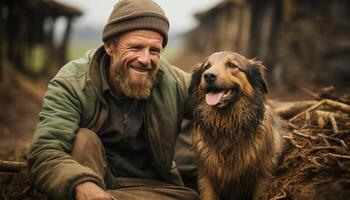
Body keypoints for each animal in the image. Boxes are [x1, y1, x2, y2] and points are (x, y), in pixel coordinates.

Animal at [189, 51, 284, 200]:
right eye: (206, 67)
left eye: (232, 65)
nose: (209, 76)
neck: (227, 127)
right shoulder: (206, 177)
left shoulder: (263, 176)